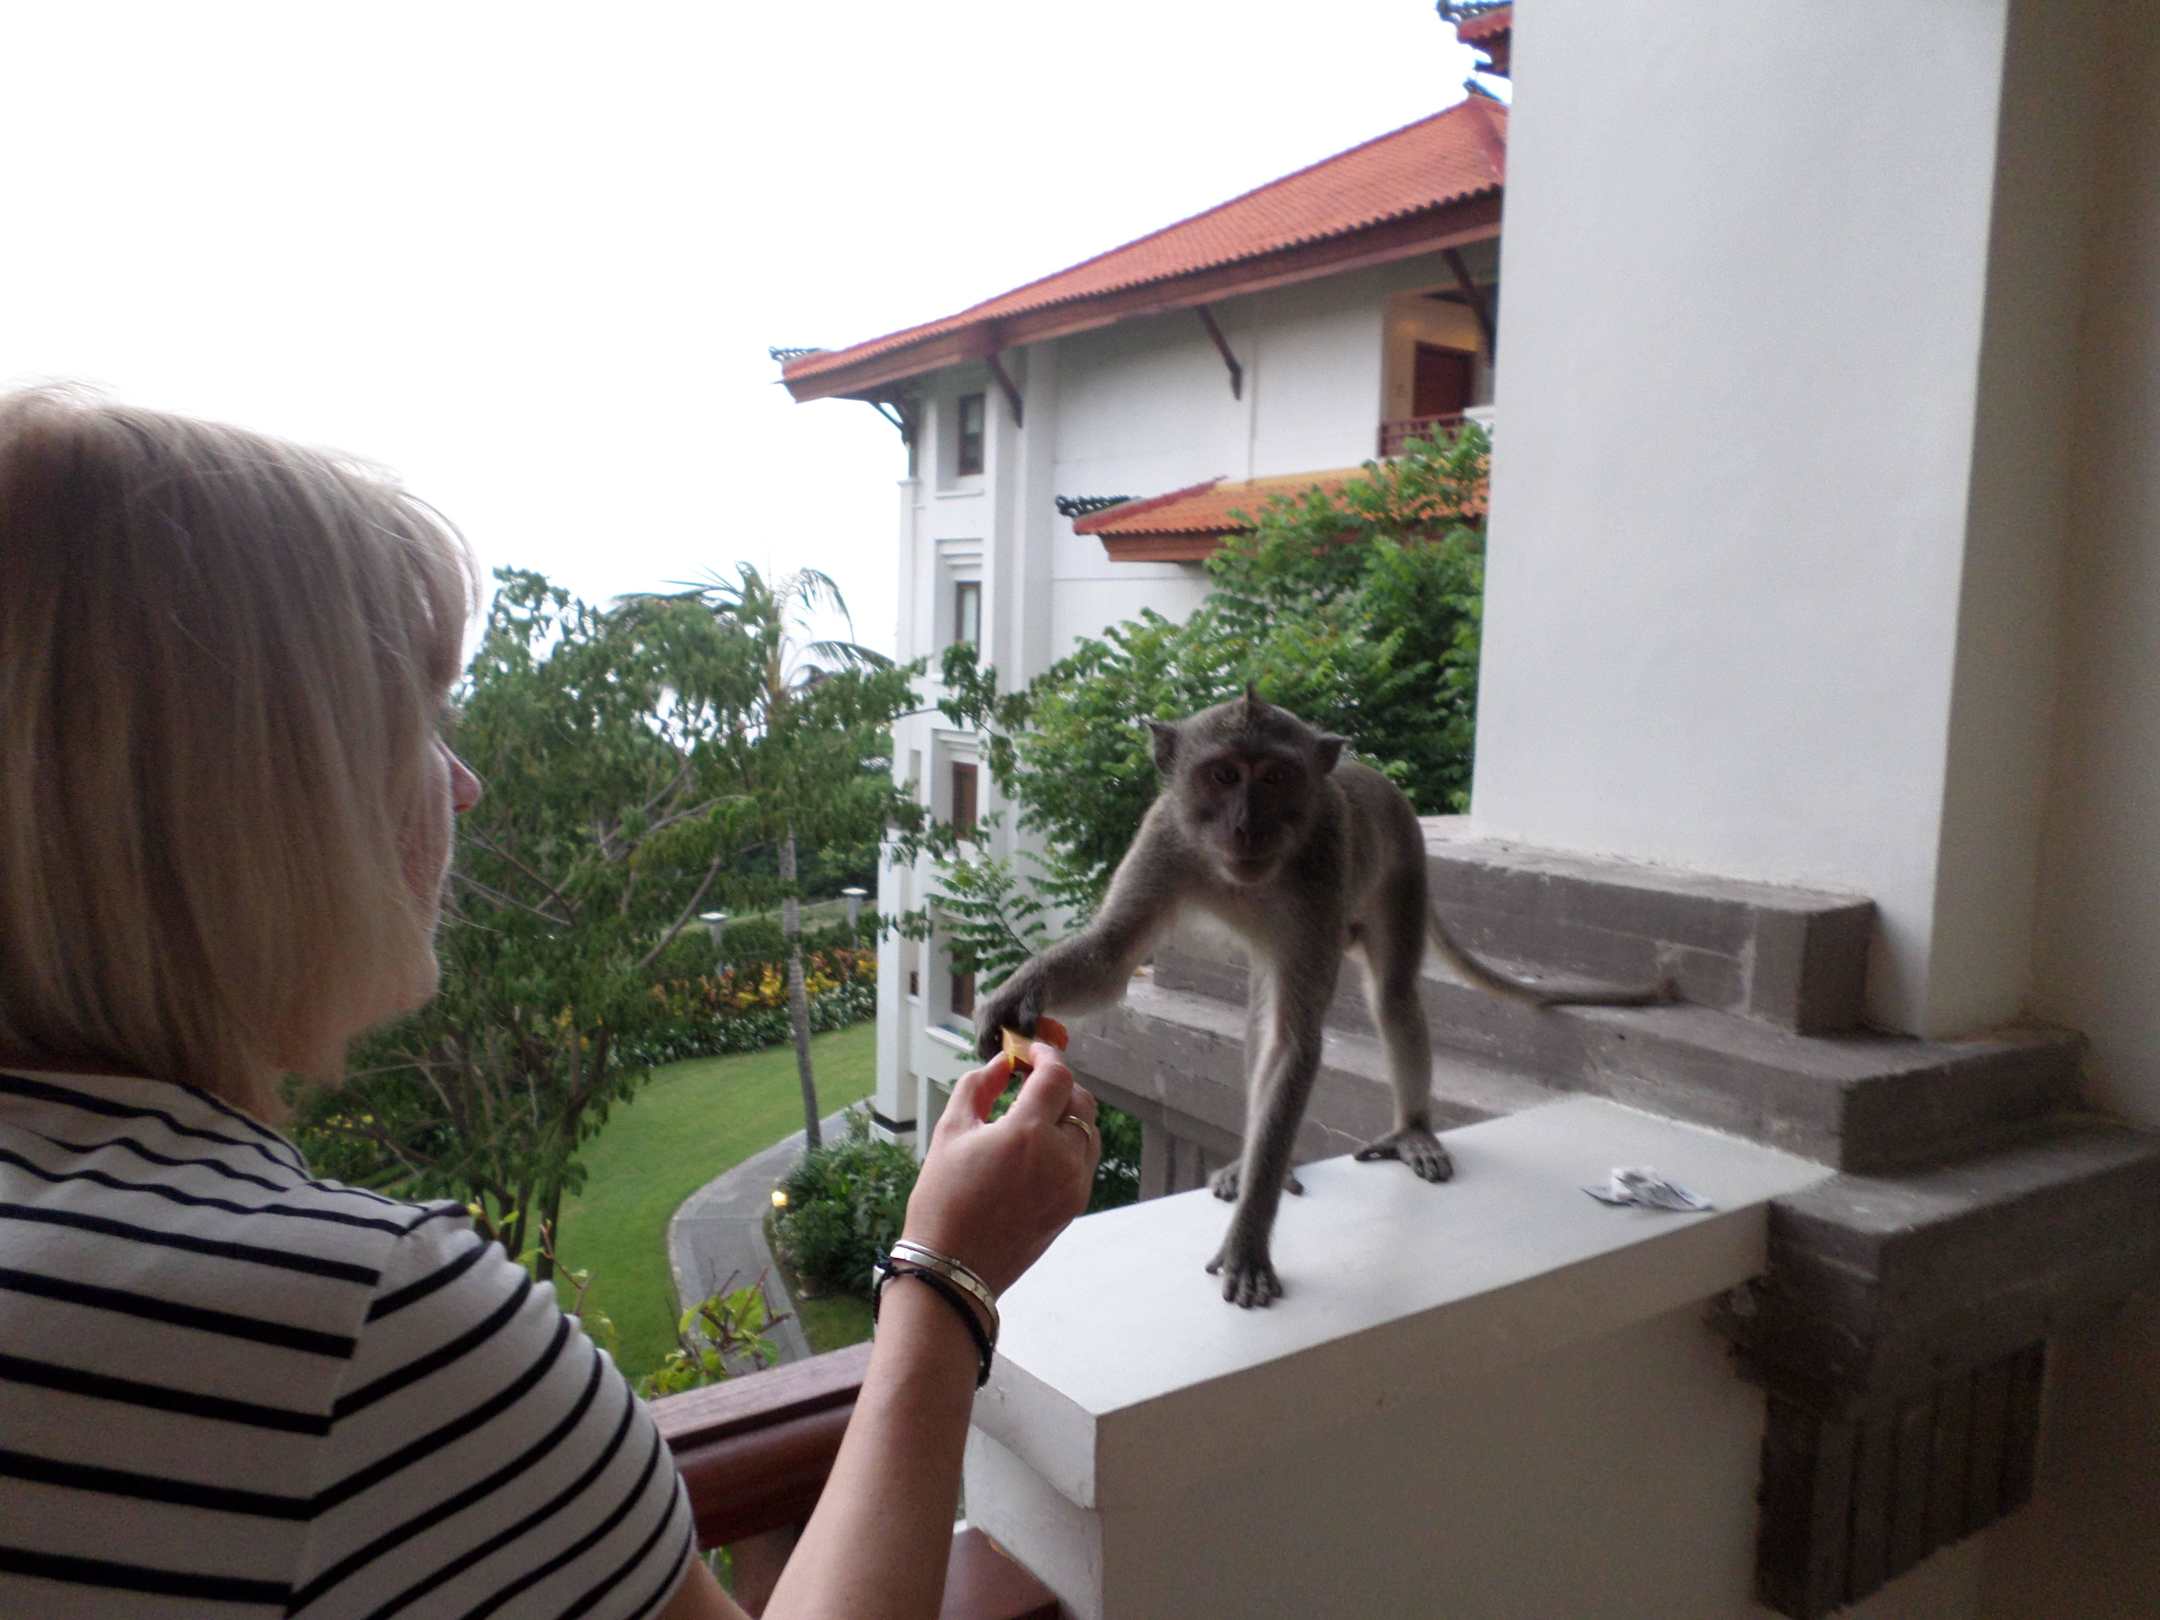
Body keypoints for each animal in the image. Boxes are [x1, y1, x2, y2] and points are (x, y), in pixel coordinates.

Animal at [975, 688, 1669, 1309]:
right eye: (1222, 775)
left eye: (1276, 776)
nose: (1246, 825)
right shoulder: (1164, 840)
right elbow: (1114, 956)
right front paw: (1011, 1000)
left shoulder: (1322, 869)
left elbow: (1297, 1043)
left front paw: (1249, 1247)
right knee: (1261, 1017)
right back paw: (1255, 1161)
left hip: (1400, 875)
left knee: (1391, 998)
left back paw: (1411, 1130)